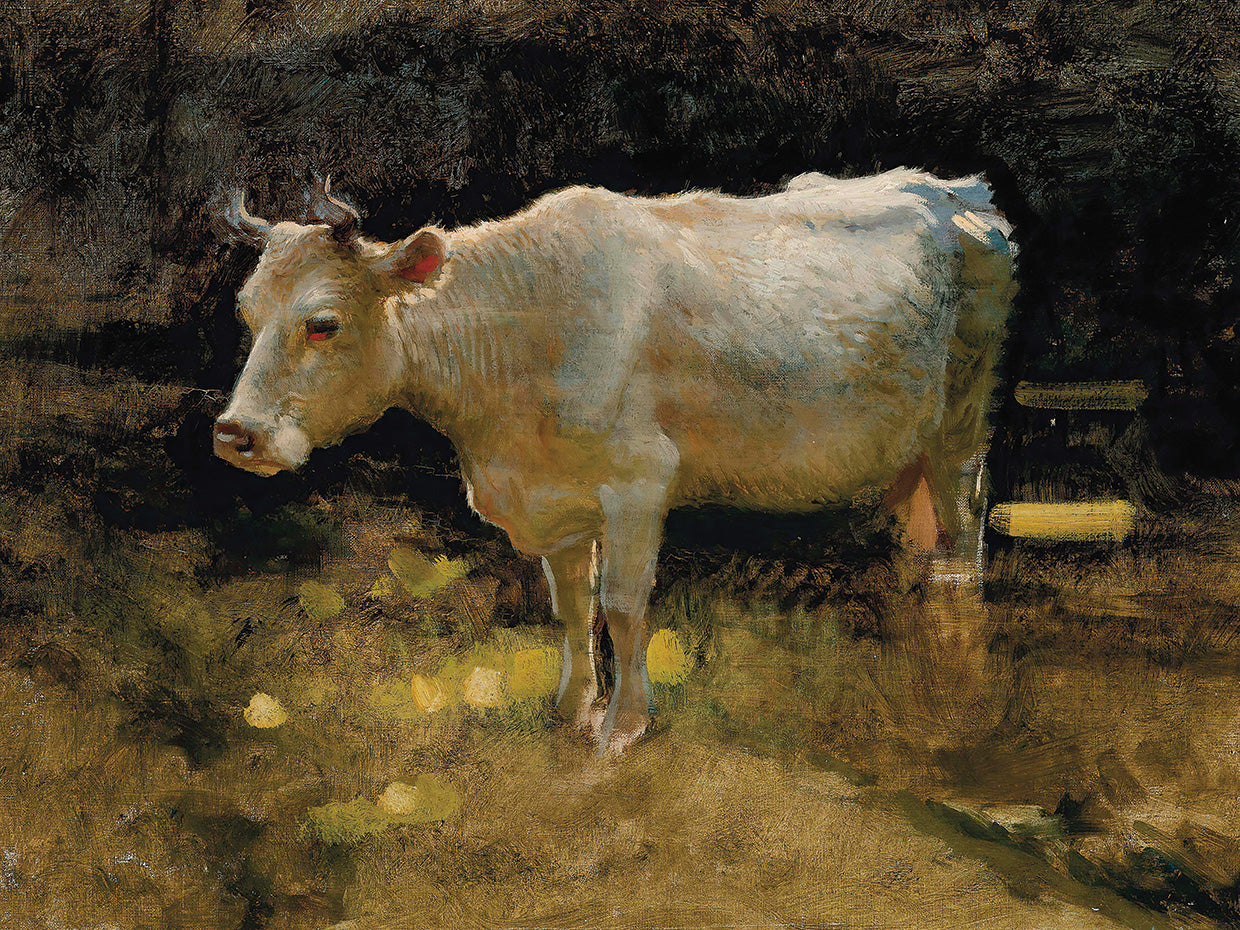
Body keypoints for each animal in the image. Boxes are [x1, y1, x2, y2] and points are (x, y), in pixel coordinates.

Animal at [213, 170, 1017, 754]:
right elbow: (572, 607)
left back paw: (961, 653)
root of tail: (957, 191)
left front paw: (623, 726)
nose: (234, 434)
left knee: (964, 531)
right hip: (908, 445)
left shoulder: (638, 480)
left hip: (962, 419)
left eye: (323, 324)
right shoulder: (554, 501)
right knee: (923, 539)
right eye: (247, 313)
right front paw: (571, 709)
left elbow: (625, 605)